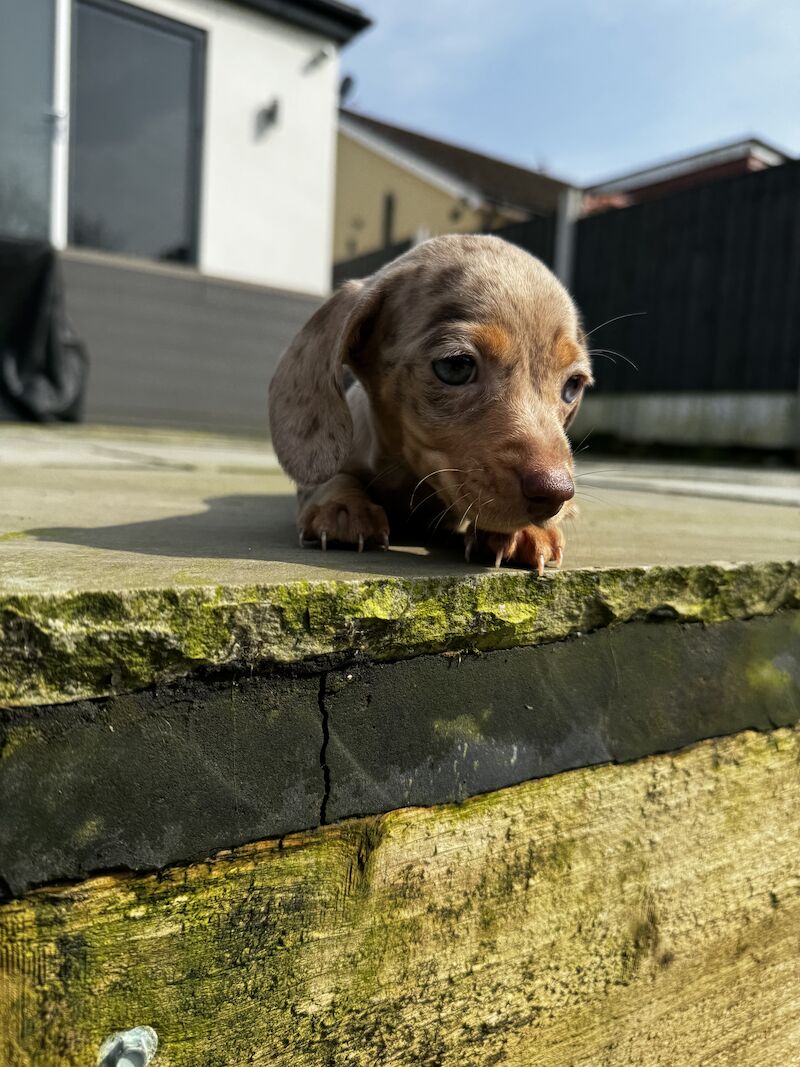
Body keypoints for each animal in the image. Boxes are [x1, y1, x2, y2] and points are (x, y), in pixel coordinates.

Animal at [273, 232, 593, 571]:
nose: (555, 493)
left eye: (573, 385)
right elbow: (332, 478)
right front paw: (342, 506)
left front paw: (524, 530)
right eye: (456, 366)